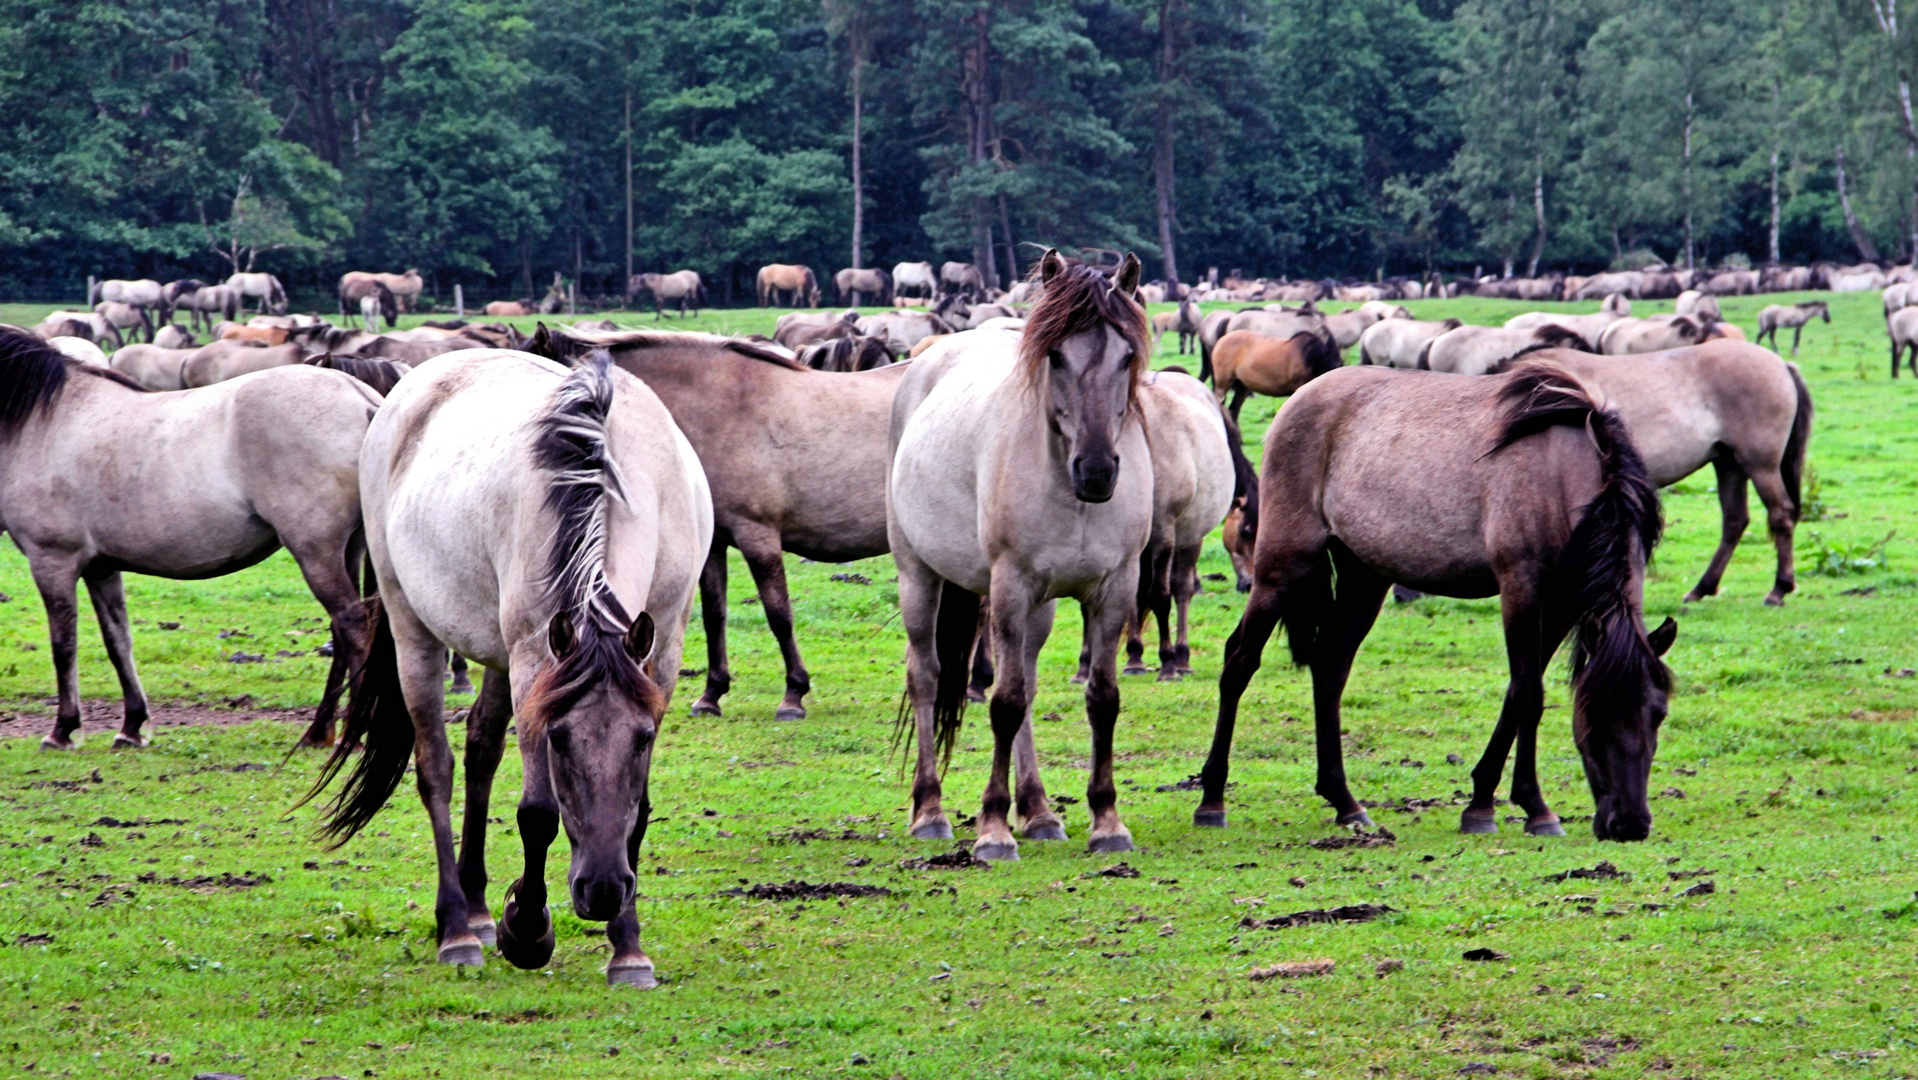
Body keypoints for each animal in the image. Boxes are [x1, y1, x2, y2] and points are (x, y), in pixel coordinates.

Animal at [0, 328, 377, 751]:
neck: (46, 421)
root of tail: (360, 397)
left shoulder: (52, 560)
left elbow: (63, 645)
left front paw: (63, 730)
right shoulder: (101, 569)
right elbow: (118, 642)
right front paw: (133, 725)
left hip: (316, 552)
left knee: (352, 624)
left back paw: (353, 731)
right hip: (347, 551)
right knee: (342, 631)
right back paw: (319, 732)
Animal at [529, 326, 909, 721]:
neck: (720, 409)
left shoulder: (758, 536)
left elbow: (779, 615)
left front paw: (794, 694)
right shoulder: (714, 545)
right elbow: (715, 615)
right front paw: (712, 693)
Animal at [1196, 362, 1680, 844]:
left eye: (1658, 713)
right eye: (1593, 712)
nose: (1629, 825)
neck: (1562, 474)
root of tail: (1301, 398)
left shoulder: (1561, 604)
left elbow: (1519, 691)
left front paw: (1485, 801)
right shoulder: (1522, 588)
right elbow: (1529, 694)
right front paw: (1533, 808)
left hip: (1363, 578)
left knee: (1330, 667)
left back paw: (1345, 802)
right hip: (1282, 567)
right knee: (1239, 662)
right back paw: (1212, 800)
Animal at [1526, 341, 1810, 606]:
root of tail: (1783, 365)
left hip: (1761, 466)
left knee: (1781, 515)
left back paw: (1778, 589)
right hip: (1730, 465)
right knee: (1735, 521)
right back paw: (1702, 588)